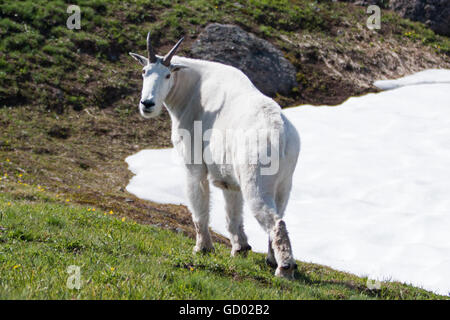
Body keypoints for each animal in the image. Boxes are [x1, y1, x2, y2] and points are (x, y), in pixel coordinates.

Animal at [128, 31, 300, 278]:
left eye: (168, 75)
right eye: (144, 72)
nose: (147, 104)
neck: (192, 90)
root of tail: (283, 136)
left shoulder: (194, 165)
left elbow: (199, 207)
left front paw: (203, 248)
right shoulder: (230, 181)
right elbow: (232, 215)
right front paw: (240, 249)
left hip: (257, 181)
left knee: (276, 222)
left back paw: (285, 268)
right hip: (284, 184)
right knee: (279, 214)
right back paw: (271, 260)